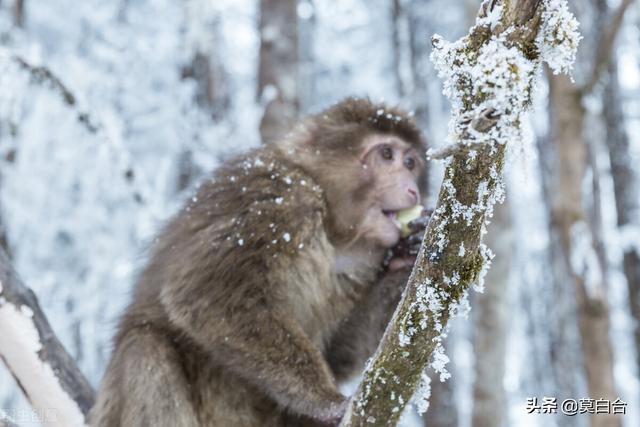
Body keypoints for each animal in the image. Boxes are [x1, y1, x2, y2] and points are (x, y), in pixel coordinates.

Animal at [90, 98, 430, 427]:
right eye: (387, 154)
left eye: (410, 163)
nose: (413, 189)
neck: (331, 224)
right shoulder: (277, 200)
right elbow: (206, 298)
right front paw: (326, 403)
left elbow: (336, 353)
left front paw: (407, 254)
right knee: (144, 348)